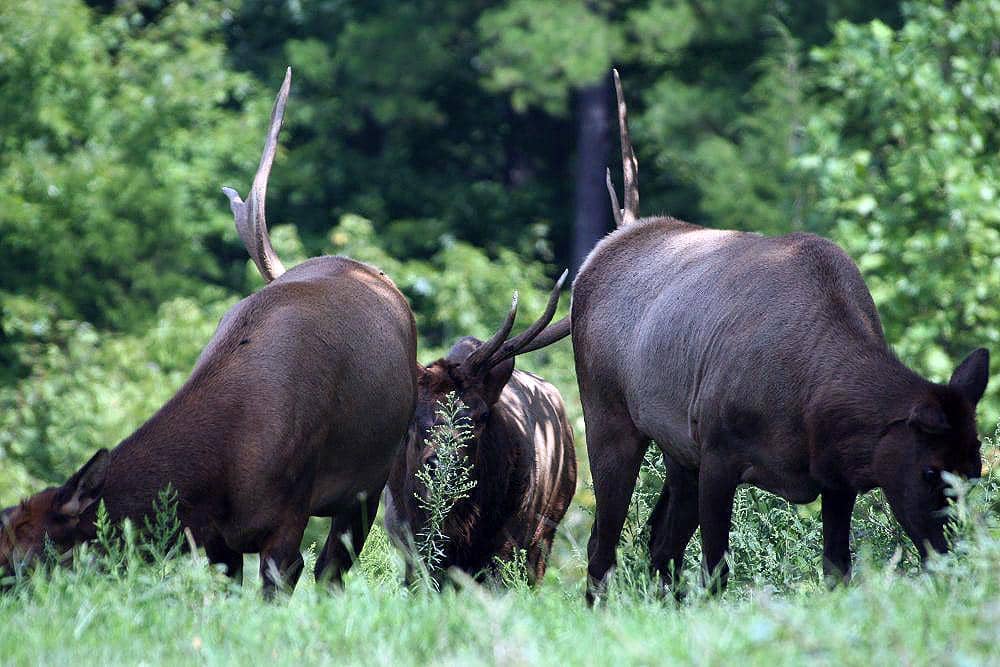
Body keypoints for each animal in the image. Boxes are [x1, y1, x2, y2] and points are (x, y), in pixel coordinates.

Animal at [0, 69, 418, 597]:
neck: (221, 475)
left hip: (371, 476)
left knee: (333, 569)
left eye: (27, 561)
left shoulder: (290, 512)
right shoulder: (216, 540)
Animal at [384, 274, 577, 585]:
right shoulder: (407, 543)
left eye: (482, 415)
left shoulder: (510, 540)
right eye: (412, 413)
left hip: (547, 530)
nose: (444, 464)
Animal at [573, 70, 989, 603]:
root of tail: (598, 254)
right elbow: (717, 570)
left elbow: (836, 569)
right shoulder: (718, 452)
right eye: (929, 470)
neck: (812, 411)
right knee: (602, 544)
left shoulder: (836, 479)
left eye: (976, 468)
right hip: (609, 417)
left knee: (658, 544)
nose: (953, 559)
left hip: (677, 451)